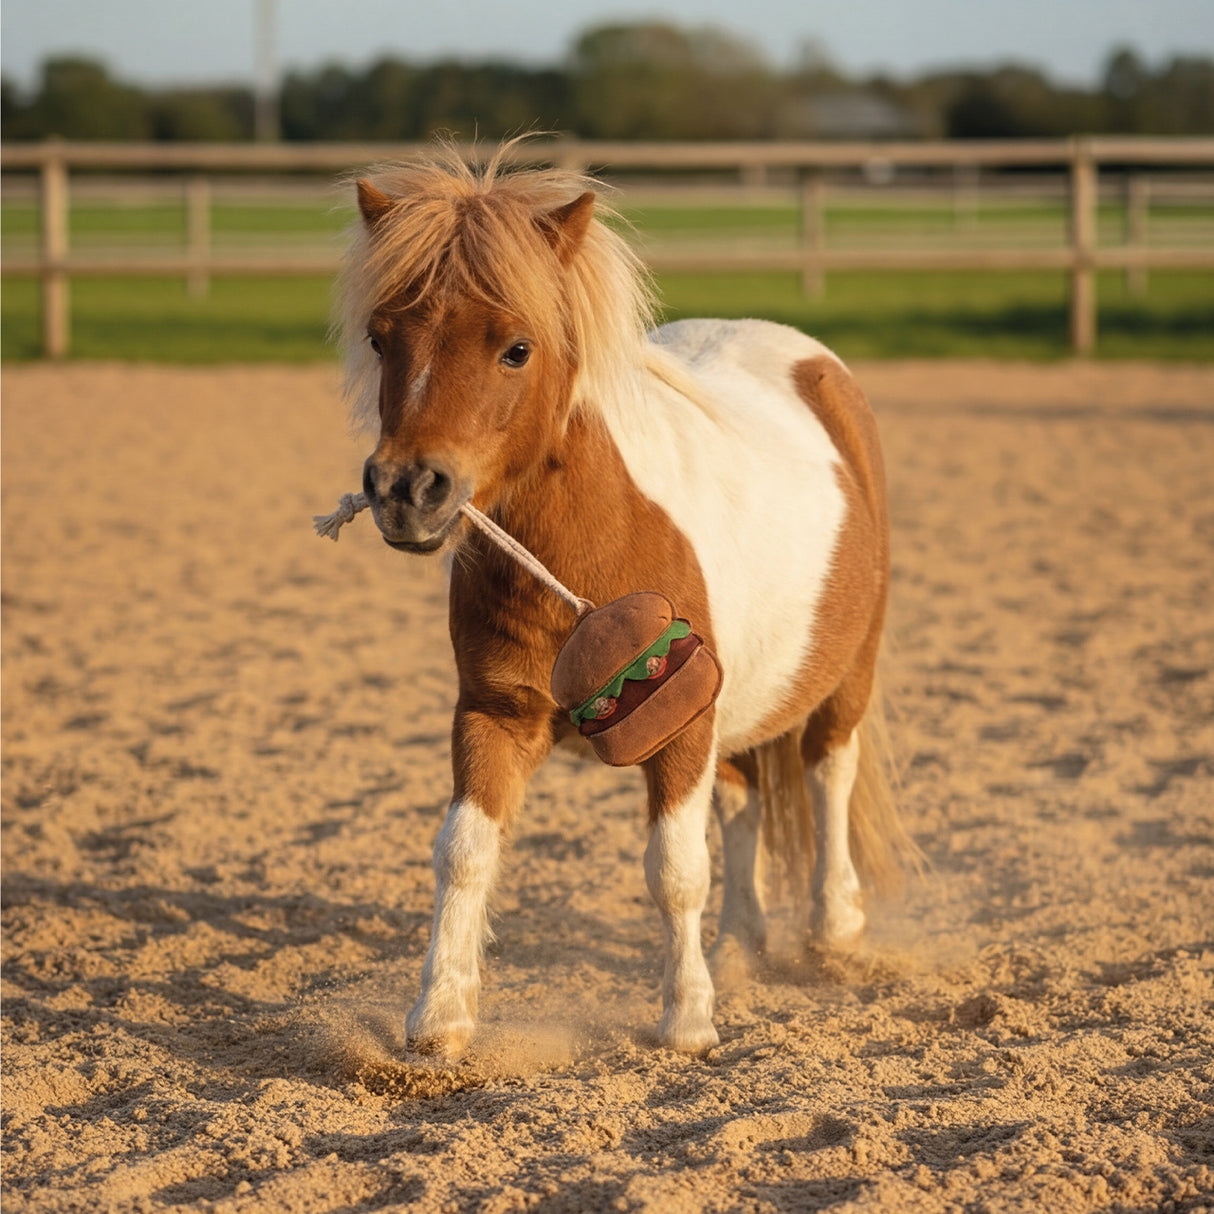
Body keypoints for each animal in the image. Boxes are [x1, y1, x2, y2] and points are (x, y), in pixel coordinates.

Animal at [337, 141, 915, 1054]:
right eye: (380, 337)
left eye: (516, 348)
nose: (406, 490)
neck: (588, 558)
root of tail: (814, 363)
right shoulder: (493, 715)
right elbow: (464, 852)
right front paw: (440, 1020)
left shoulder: (680, 729)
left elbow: (675, 870)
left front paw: (686, 1020)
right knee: (745, 801)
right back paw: (741, 948)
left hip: (845, 677)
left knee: (829, 775)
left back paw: (835, 931)